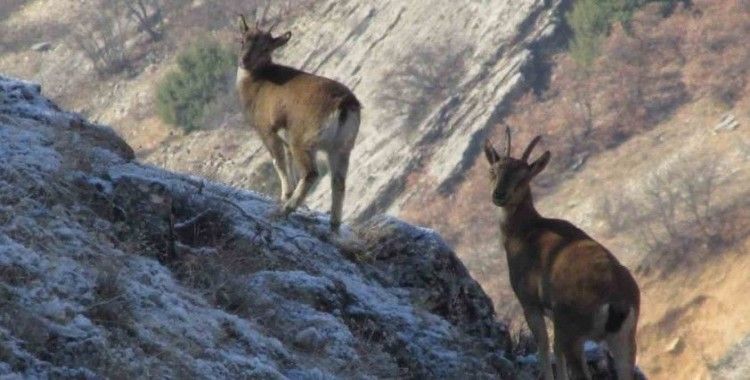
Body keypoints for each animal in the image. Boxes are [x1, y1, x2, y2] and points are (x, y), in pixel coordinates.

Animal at [236, 14, 362, 232]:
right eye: (243, 40)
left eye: (265, 48)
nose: (244, 60)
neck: (257, 84)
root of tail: (345, 104)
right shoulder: (285, 140)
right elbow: (288, 163)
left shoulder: (267, 130)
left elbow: (278, 162)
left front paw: (285, 196)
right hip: (340, 148)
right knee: (338, 182)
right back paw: (333, 227)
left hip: (303, 142)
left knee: (311, 173)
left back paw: (284, 210)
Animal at [488, 127, 640, 380]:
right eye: (493, 170)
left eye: (523, 177)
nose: (499, 194)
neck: (525, 232)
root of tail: (617, 301)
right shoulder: (554, 318)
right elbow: (556, 353)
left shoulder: (530, 303)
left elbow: (543, 346)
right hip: (623, 338)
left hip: (574, 331)